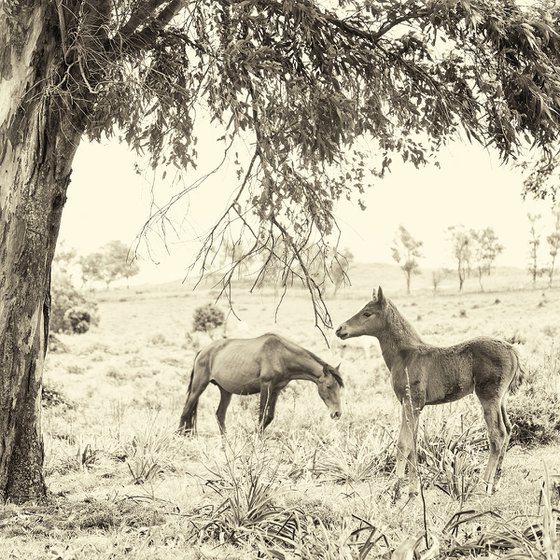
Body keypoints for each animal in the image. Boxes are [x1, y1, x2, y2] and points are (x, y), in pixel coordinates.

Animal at [182, 330, 344, 436]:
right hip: (199, 385)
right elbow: (261, 414)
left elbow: (270, 416)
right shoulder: (266, 386)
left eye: (339, 388)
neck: (281, 355)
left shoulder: (276, 390)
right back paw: (181, 436)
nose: (337, 413)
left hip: (225, 391)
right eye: (329, 386)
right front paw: (256, 438)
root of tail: (203, 350)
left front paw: (256, 434)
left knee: (219, 415)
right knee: (186, 410)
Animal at [334, 286, 524, 496]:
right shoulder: (409, 405)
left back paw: (482, 485)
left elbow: (404, 444)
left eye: (367, 313)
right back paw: (495, 484)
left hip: (488, 397)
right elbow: (412, 443)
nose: (340, 329)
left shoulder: (412, 403)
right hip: (501, 399)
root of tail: (511, 349)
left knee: (497, 435)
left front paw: (397, 491)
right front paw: (412, 491)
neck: (406, 355)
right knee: (508, 429)